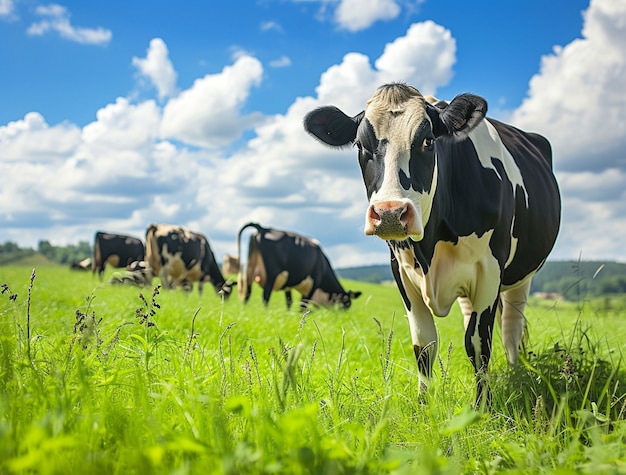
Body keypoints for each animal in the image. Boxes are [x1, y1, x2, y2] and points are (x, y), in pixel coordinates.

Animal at [302, 82, 560, 406]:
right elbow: (424, 344)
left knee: (511, 328)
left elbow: (478, 343)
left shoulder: (489, 268)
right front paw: (423, 404)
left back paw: (515, 374)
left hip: (521, 275)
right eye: (360, 146)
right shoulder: (401, 269)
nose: (389, 213)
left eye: (427, 141)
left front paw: (482, 407)